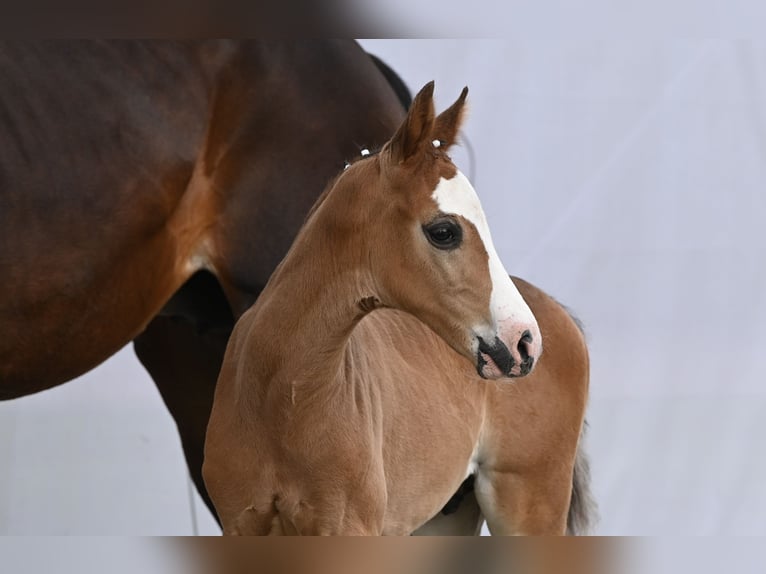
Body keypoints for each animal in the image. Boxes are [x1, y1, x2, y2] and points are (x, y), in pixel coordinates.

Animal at [204, 83, 592, 536]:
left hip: (529, 500)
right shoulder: (240, 525)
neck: (281, 394)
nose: (524, 341)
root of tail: (560, 313)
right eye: (443, 231)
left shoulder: (348, 529)